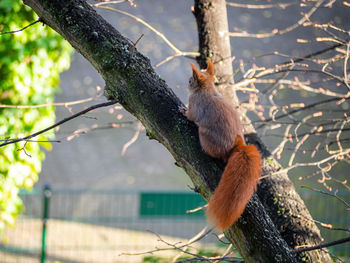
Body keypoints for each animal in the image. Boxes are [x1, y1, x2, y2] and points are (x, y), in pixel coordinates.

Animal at [182, 59, 262, 231]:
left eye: (191, 80)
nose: (187, 83)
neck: (207, 89)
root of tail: (236, 145)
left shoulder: (195, 105)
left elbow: (191, 116)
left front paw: (183, 111)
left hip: (205, 136)